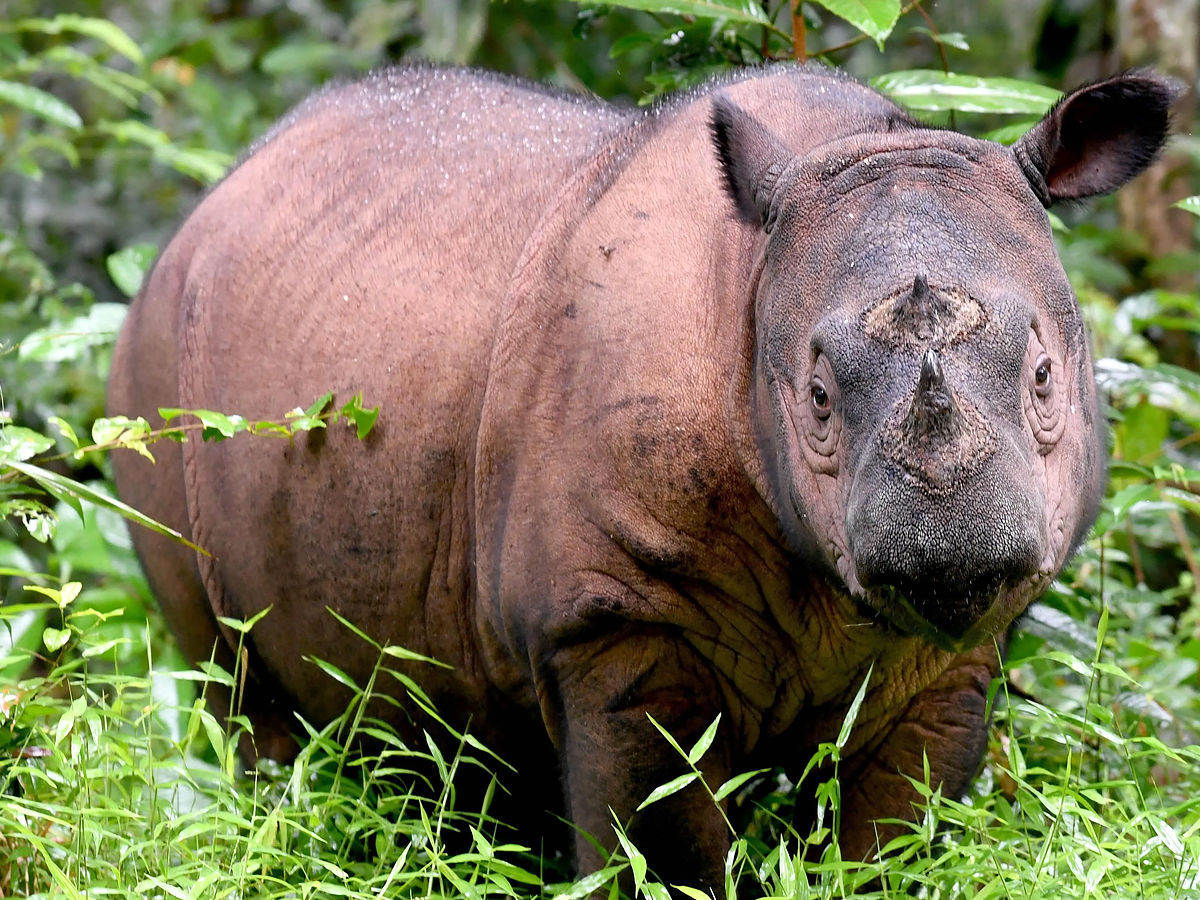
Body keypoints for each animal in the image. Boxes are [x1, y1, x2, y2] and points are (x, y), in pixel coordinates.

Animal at [108, 62, 1177, 887]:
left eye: (1045, 379)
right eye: (816, 398)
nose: (953, 552)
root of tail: (212, 199)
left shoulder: (950, 657)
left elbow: (896, 841)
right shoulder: (614, 622)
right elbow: (664, 849)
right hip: (150, 370)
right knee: (236, 685)